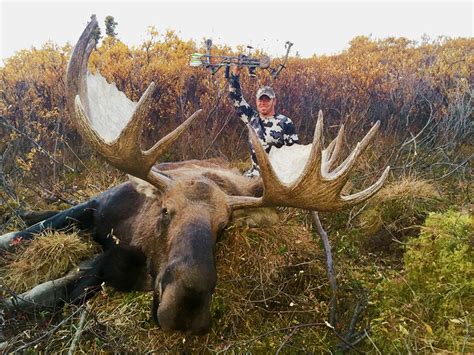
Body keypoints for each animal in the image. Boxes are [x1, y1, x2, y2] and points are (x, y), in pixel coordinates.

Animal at [0, 18, 388, 336]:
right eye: (165, 210)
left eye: (224, 226)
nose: (184, 311)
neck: (133, 235)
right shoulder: (98, 206)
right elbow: (28, 240)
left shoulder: (115, 262)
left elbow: (69, 282)